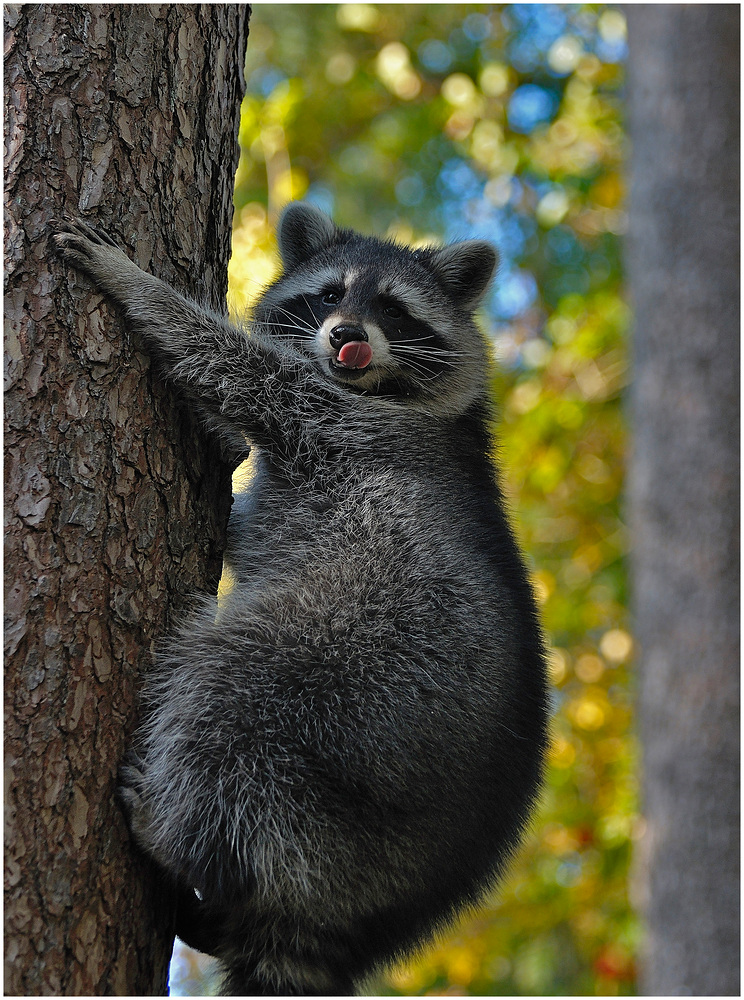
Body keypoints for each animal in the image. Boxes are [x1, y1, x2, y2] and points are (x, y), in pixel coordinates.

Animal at [55, 205, 548, 1000]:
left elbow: (235, 367)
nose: (347, 335)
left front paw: (137, 286)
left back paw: (178, 834)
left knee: (225, 690)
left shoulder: (343, 421)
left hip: (359, 685)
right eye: (329, 295)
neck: (377, 389)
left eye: (393, 308)